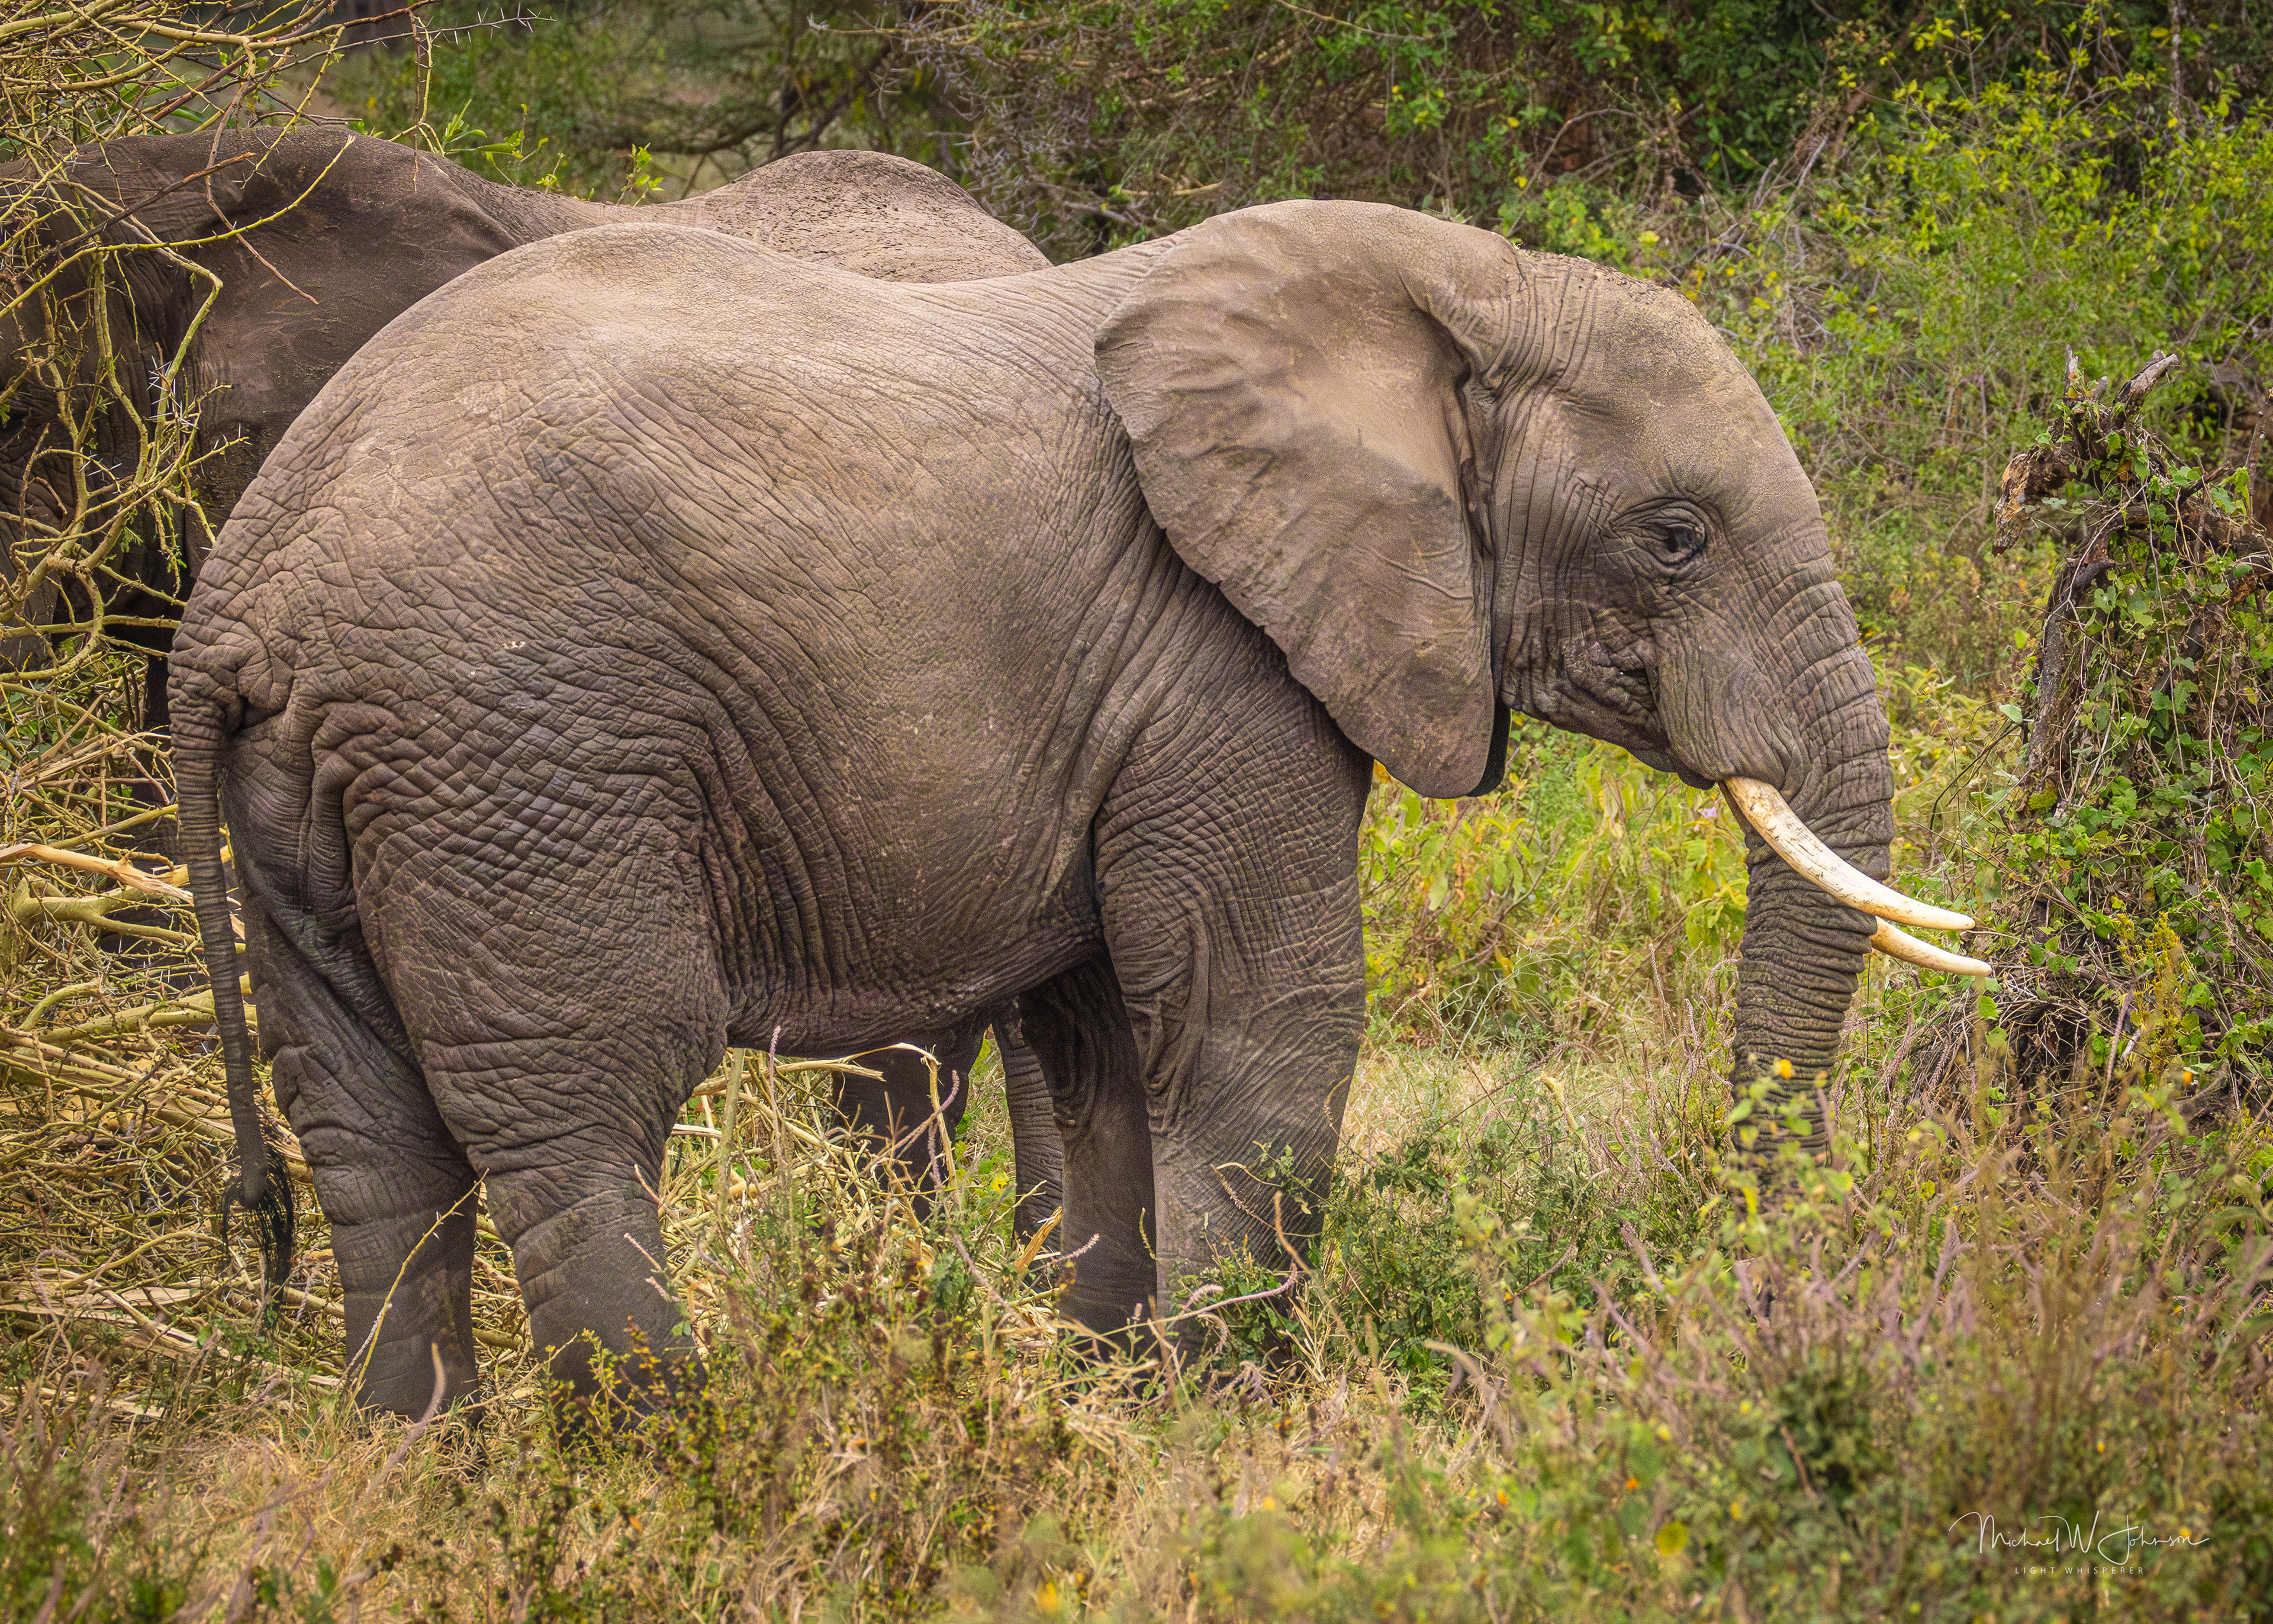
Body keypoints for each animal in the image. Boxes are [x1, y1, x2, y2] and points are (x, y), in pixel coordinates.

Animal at [170, 199, 1974, 1421]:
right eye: (1674, 539)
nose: (1742, 1293)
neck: (1455, 283)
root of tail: (238, 604)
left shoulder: (1129, 695)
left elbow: (1103, 1044)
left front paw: (1104, 1403)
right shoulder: (1217, 659)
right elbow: (1255, 1028)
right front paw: (1230, 1435)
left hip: (331, 790)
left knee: (373, 1144)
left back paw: (432, 1486)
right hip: (514, 751)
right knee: (582, 1113)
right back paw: (668, 1470)